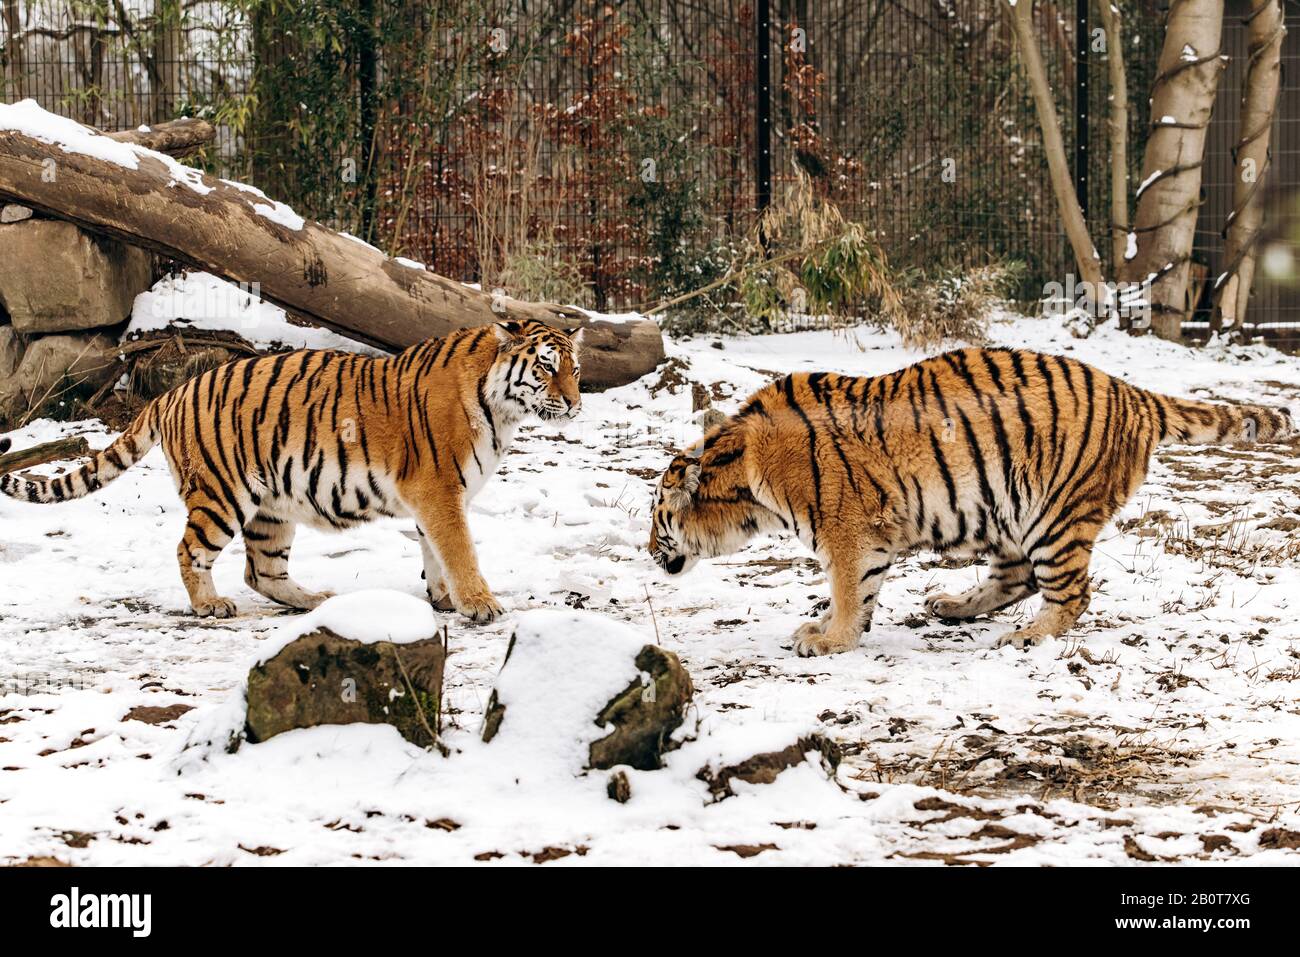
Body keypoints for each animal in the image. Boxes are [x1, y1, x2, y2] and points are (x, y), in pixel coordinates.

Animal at [0, 317, 579, 624]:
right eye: (546, 367)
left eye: (575, 368)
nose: (575, 403)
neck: (501, 409)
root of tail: (172, 393)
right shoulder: (438, 489)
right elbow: (459, 549)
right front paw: (480, 604)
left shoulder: (434, 499)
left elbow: (434, 553)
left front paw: (442, 599)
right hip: (221, 496)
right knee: (191, 551)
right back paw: (210, 605)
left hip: (271, 507)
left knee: (261, 571)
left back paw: (312, 601)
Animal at [647, 348, 1289, 657]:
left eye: (657, 520)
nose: (649, 552)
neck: (744, 479)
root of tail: (1133, 393)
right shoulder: (868, 538)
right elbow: (858, 593)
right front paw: (825, 627)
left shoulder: (849, 532)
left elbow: (849, 591)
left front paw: (830, 641)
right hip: (1011, 515)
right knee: (1016, 578)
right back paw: (951, 606)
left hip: (1056, 515)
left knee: (1071, 593)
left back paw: (1026, 637)